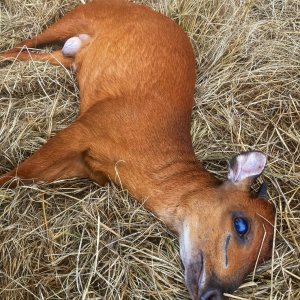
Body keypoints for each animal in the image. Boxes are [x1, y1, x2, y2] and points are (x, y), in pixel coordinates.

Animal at [0, 0, 276, 300]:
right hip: (74, 19)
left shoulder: (86, 166)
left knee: (29, 54)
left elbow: (28, 175)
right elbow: (20, 173)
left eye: (262, 259)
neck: (140, 157)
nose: (213, 294)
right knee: (19, 46)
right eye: (241, 225)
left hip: (68, 57)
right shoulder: (86, 127)